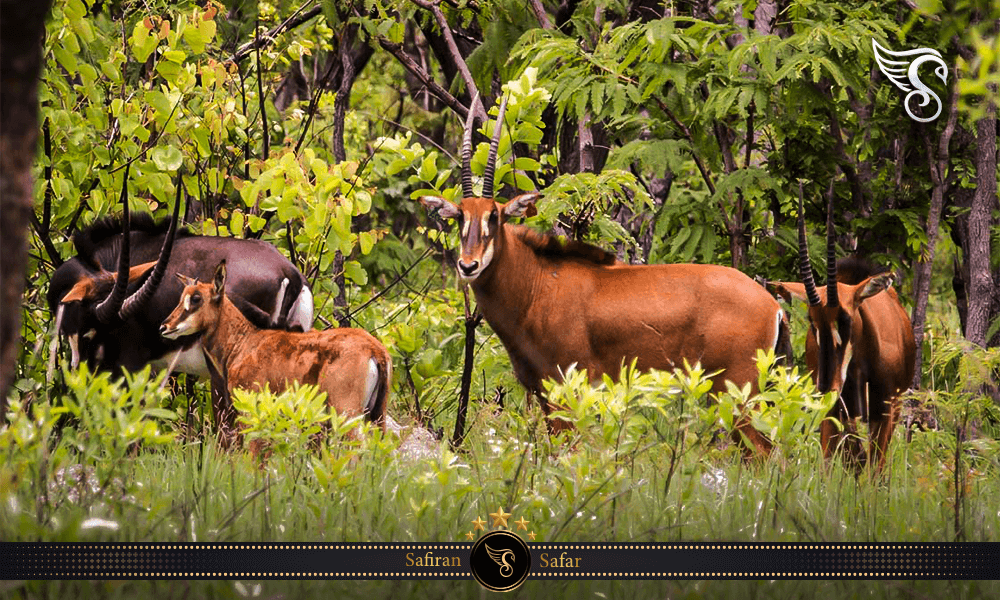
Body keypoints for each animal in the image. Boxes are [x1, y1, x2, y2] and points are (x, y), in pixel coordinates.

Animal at [160, 260, 390, 438]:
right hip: (376, 415)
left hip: (346, 413)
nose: (165, 327)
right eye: (182, 296)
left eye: (196, 298)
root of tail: (375, 350)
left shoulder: (249, 406)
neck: (244, 342)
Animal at [418, 94, 784, 454]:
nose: (468, 266)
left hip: (738, 391)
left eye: (494, 216)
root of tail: (773, 306)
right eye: (459, 217)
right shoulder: (543, 393)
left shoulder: (567, 388)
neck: (537, 284)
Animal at [768, 184, 916, 474]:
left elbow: (874, 469)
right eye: (812, 321)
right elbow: (850, 460)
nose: (827, 385)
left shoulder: (886, 408)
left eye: (845, 318)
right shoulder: (840, 410)